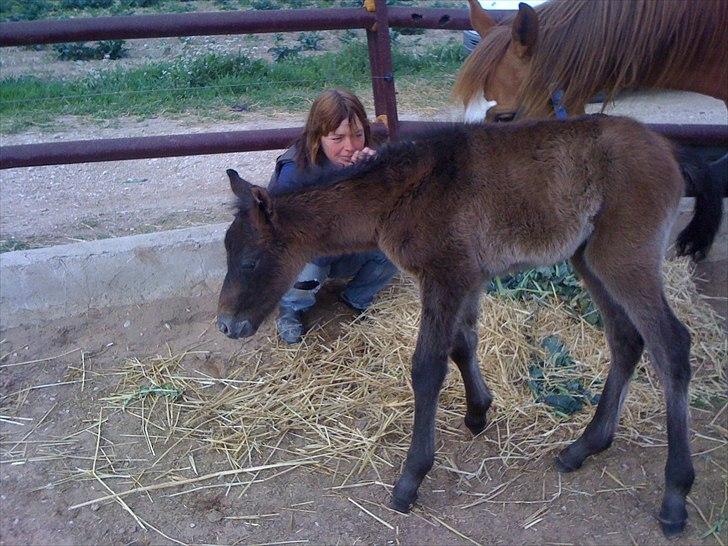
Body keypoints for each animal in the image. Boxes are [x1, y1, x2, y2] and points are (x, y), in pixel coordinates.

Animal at [216, 113, 724, 532]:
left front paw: (410, 479)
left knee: (671, 345)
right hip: (590, 259)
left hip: (624, 258)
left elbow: (427, 367)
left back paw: (675, 495)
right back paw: (583, 447)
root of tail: (670, 147)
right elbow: (464, 344)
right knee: (626, 339)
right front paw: (479, 411)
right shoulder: (467, 278)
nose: (226, 325)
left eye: (249, 261)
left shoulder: (445, 275)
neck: (402, 193)